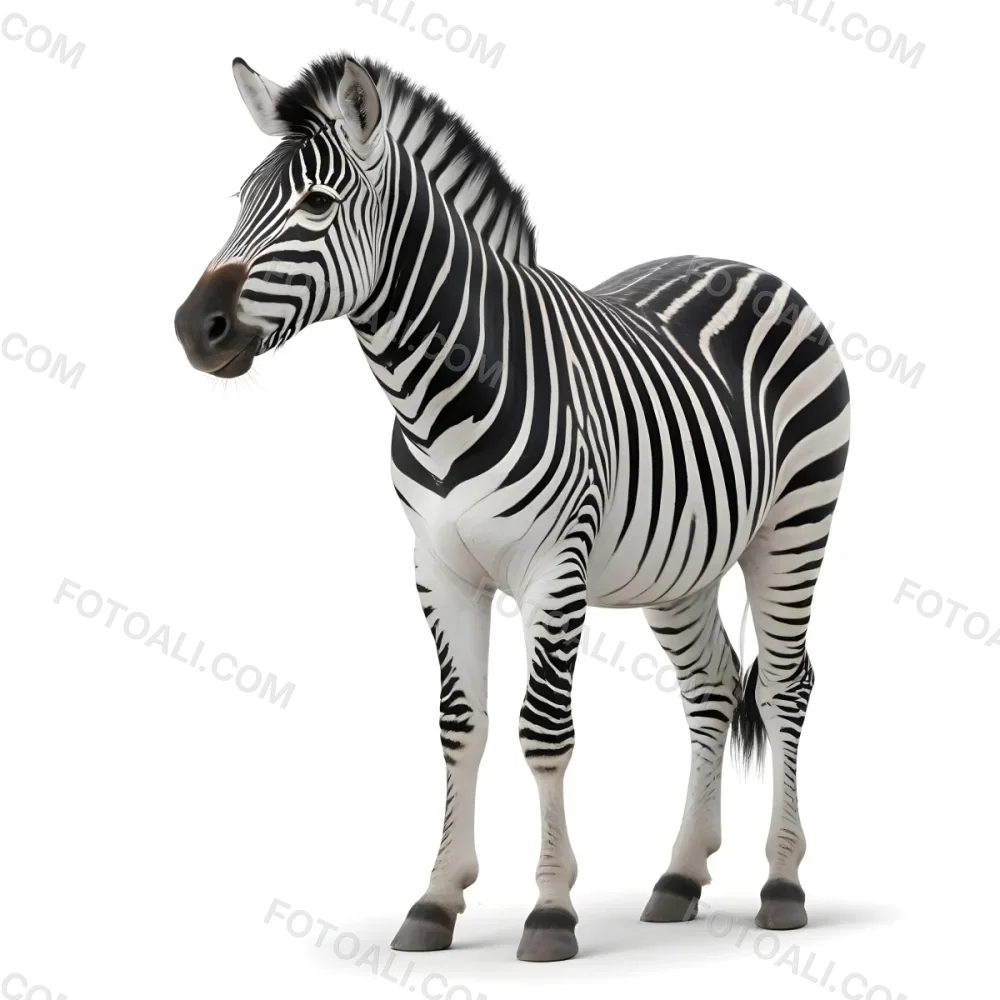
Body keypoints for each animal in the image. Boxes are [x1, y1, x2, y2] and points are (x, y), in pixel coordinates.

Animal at [174, 53, 850, 963]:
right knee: (710, 687)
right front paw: (436, 899)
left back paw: (782, 883)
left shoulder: (552, 570)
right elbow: (460, 725)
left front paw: (552, 909)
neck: (436, 396)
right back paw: (679, 877)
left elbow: (544, 730)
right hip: (682, 564)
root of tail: (748, 265)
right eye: (242, 199)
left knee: (783, 686)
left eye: (316, 203)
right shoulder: (438, 570)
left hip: (794, 526)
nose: (193, 328)